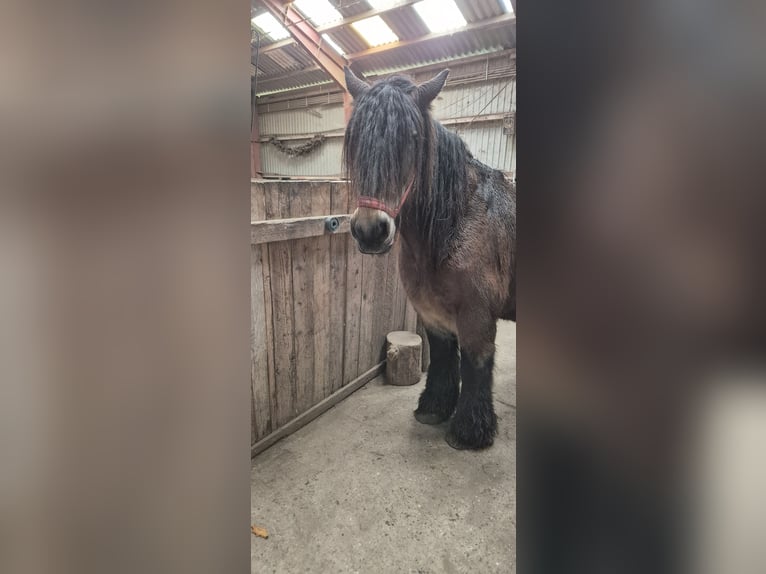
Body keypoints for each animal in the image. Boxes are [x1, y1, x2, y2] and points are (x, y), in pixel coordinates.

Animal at [342, 66, 516, 450]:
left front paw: (469, 432)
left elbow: (475, 364)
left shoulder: (477, 316)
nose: (370, 231)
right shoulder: (432, 313)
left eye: (412, 137)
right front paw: (433, 408)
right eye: (356, 139)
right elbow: (442, 357)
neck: (458, 221)